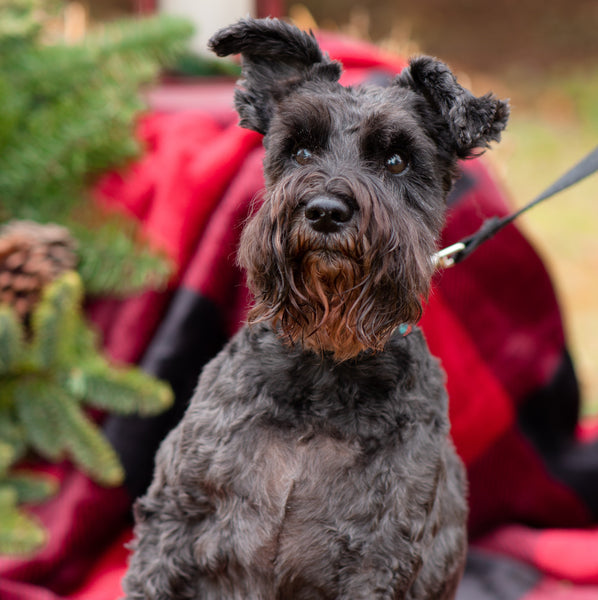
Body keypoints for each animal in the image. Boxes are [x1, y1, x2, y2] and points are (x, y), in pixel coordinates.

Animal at [123, 16, 510, 596]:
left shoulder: (378, 562)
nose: (326, 211)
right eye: (301, 150)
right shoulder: (173, 523)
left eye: (397, 160)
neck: (323, 369)